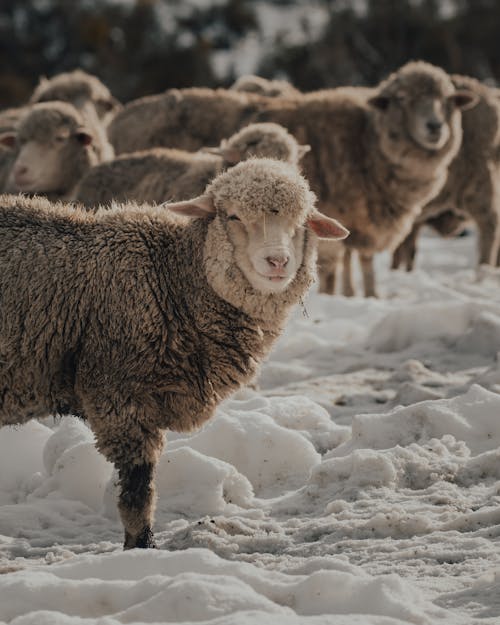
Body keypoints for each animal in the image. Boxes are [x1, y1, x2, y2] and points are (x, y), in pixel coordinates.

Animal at [0, 158, 348, 548]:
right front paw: (143, 548)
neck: (173, 279)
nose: (277, 261)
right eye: (232, 216)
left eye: (302, 221)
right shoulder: (120, 397)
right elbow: (139, 492)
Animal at [108, 62, 476, 296]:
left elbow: (361, 263)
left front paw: (365, 296)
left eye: (447, 101)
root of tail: (121, 116)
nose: (435, 127)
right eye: (401, 100)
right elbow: (337, 265)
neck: (367, 140)